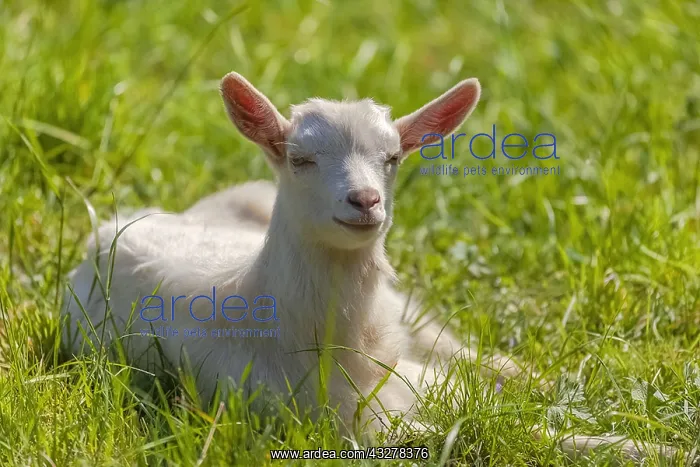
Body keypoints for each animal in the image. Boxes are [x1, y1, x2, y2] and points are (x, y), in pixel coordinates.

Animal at [62, 72, 679, 462]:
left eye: (393, 157)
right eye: (299, 157)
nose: (365, 201)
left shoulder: (412, 380)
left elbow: (509, 415)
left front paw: (651, 442)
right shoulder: (350, 426)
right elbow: (492, 431)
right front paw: (656, 445)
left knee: (470, 351)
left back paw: (560, 379)